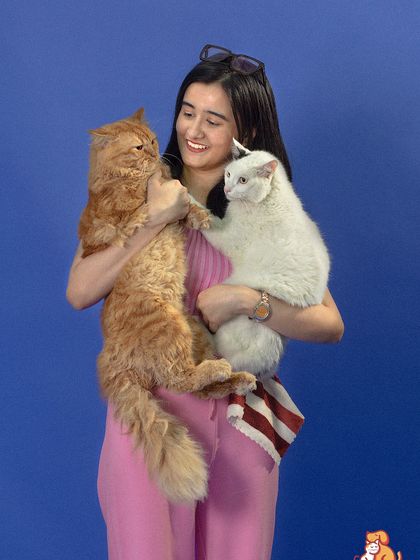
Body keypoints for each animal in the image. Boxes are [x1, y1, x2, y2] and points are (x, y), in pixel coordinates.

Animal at [78, 109, 256, 503]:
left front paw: (202, 216)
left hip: (194, 328)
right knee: (181, 380)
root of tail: (111, 360)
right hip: (170, 324)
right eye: (137, 146)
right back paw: (223, 371)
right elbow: (151, 202)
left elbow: (187, 203)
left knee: (199, 386)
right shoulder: (124, 208)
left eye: (152, 140)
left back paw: (237, 377)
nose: (153, 151)